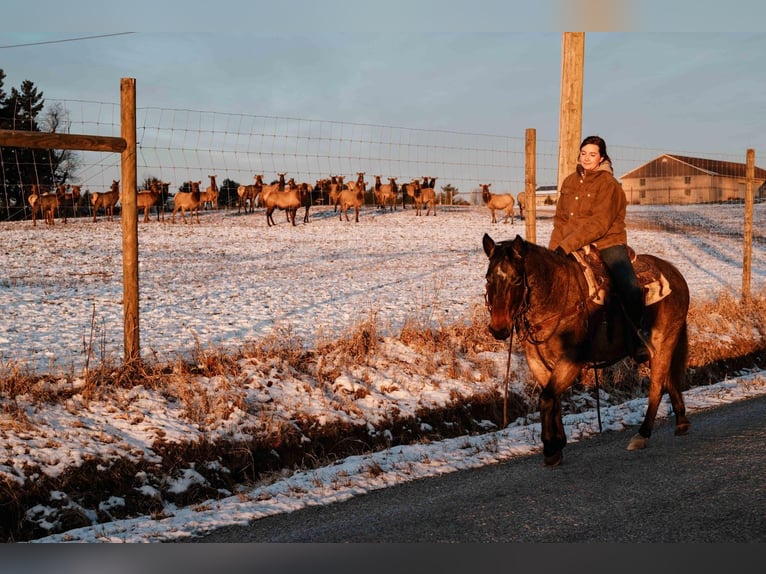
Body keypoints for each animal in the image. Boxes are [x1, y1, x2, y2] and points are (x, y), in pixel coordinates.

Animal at [482, 233, 691, 467]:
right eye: (489, 279)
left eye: (517, 279)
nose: (498, 328)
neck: (556, 297)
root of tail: (675, 274)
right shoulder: (538, 363)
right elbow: (553, 399)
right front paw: (558, 444)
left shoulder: (571, 361)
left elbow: (546, 399)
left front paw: (550, 448)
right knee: (668, 379)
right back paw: (681, 421)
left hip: (664, 344)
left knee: (656, 387)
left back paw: (642, 434)